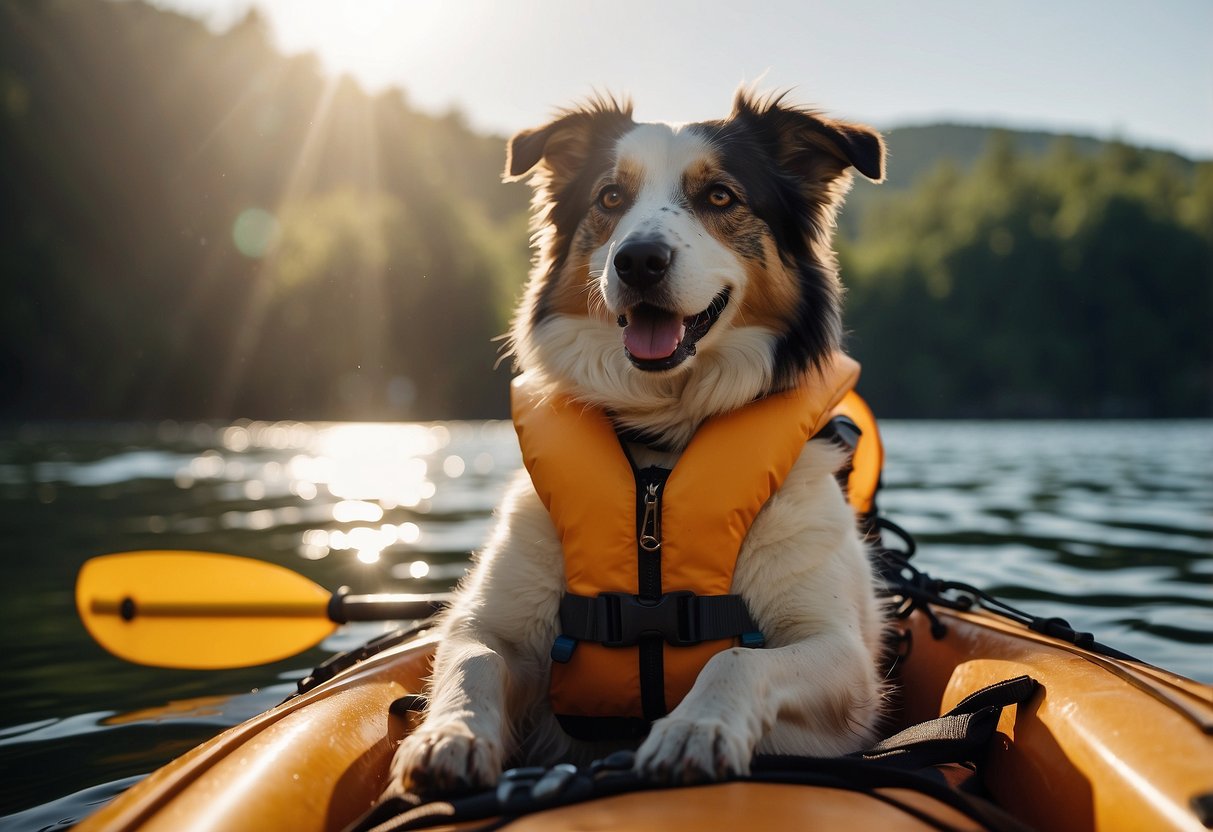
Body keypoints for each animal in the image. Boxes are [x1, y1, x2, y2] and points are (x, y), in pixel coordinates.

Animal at [390, 89, 892, 795]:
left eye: (719, 196)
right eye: (610, 197)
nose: (638, 260)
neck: (659, 443)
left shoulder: (840, 655)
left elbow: (737, 659)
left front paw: (693, 730)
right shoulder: (491, 622)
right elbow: (473, 658)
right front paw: (449, 737)